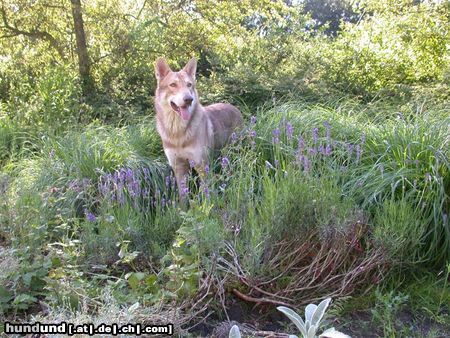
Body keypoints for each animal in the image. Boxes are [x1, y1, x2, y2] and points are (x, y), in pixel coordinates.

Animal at [154, 57, 243, 198]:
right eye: (173, 85)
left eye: (189, 85)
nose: (188, 99)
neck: (177, 131)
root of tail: (234, 107)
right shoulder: (179, 168)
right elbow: (183, 197)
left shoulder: (201, 166)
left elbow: (205, 193)